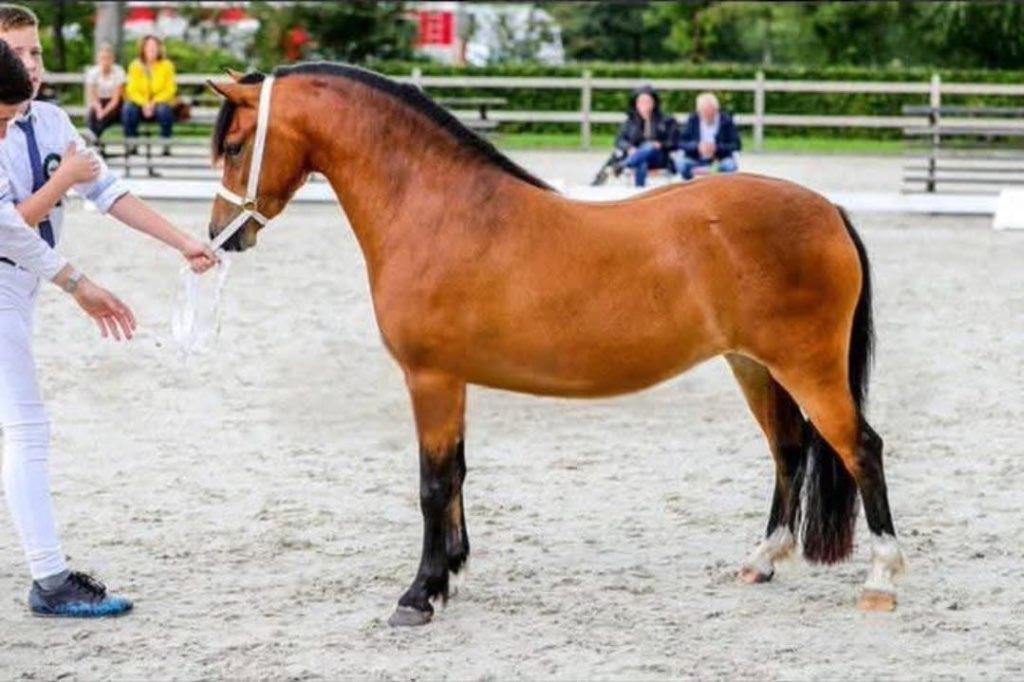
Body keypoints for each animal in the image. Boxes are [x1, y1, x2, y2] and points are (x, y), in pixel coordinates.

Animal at [204, 63, 906, 626]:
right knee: (789, 451)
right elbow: (456, 475)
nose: (223, 236)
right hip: (754, 366)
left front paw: (419, 595)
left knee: (861, 449)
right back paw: (761, 560)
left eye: (236, 145)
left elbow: (433, 483)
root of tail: (828, 210)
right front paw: (451, 571)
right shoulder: (452, 380)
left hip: (806, 367)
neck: (437, 209)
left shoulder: (430, 377)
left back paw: (881, 579)